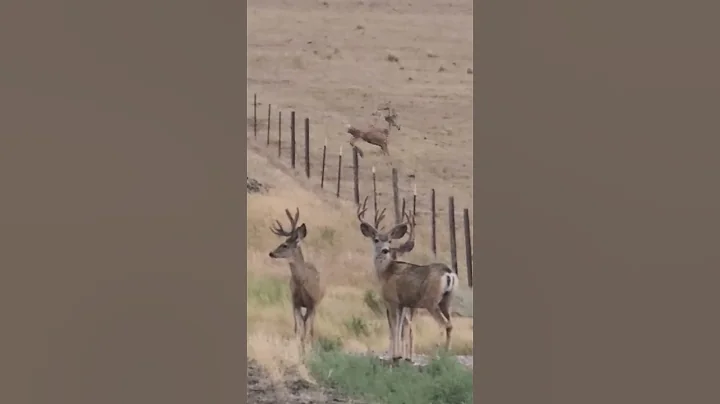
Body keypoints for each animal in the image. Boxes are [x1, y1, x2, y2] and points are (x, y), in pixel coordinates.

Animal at [267, 208, 325, 354]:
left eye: (285, 245)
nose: (271, 253)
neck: (303, 283)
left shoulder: (312, 304)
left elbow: (308, 330)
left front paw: (307, 351)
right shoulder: (295, 302)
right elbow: (296, 329)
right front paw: (299, 349)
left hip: (315, 305)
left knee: (310, 327)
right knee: (302, 325)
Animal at [356, 196, 458, 364]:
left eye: (390, 241)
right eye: (376, 239)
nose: (385, 250)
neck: (386, 272)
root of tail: (448, 273)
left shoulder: (392, 300)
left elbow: (394, 328)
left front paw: (394, 356)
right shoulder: (404, 303)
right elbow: (400, 328)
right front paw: (399, 355)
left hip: (431, 301)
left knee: (443, 324)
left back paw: (437, 355)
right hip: (446, 301)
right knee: (450, 324)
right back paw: (446, 356)